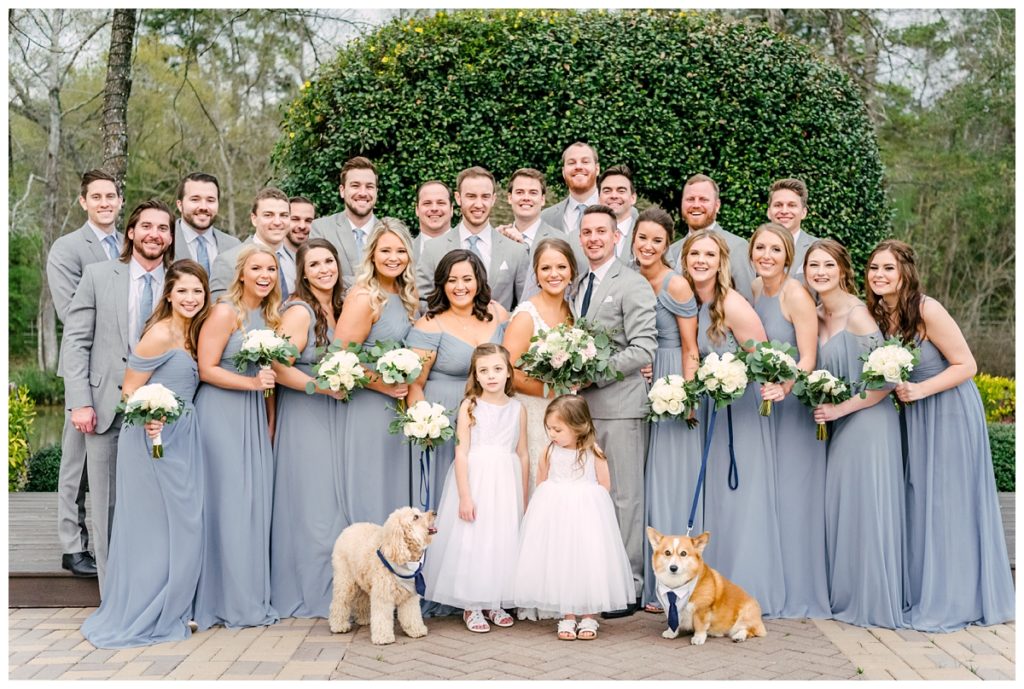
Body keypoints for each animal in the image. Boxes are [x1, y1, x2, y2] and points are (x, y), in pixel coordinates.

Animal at [329, 505, 438, 647]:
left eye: (419, 512)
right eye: (415, 517)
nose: (434, 512)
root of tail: (347, 529)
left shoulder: (409, 596)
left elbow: (412, 614)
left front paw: (416, 630)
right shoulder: (383, 595)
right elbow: (382, 617)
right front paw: (383, 637)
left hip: (363, 580)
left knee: (361, 600)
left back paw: (364, 619)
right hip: (345, 581)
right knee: (340, 602)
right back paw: (339, 625)